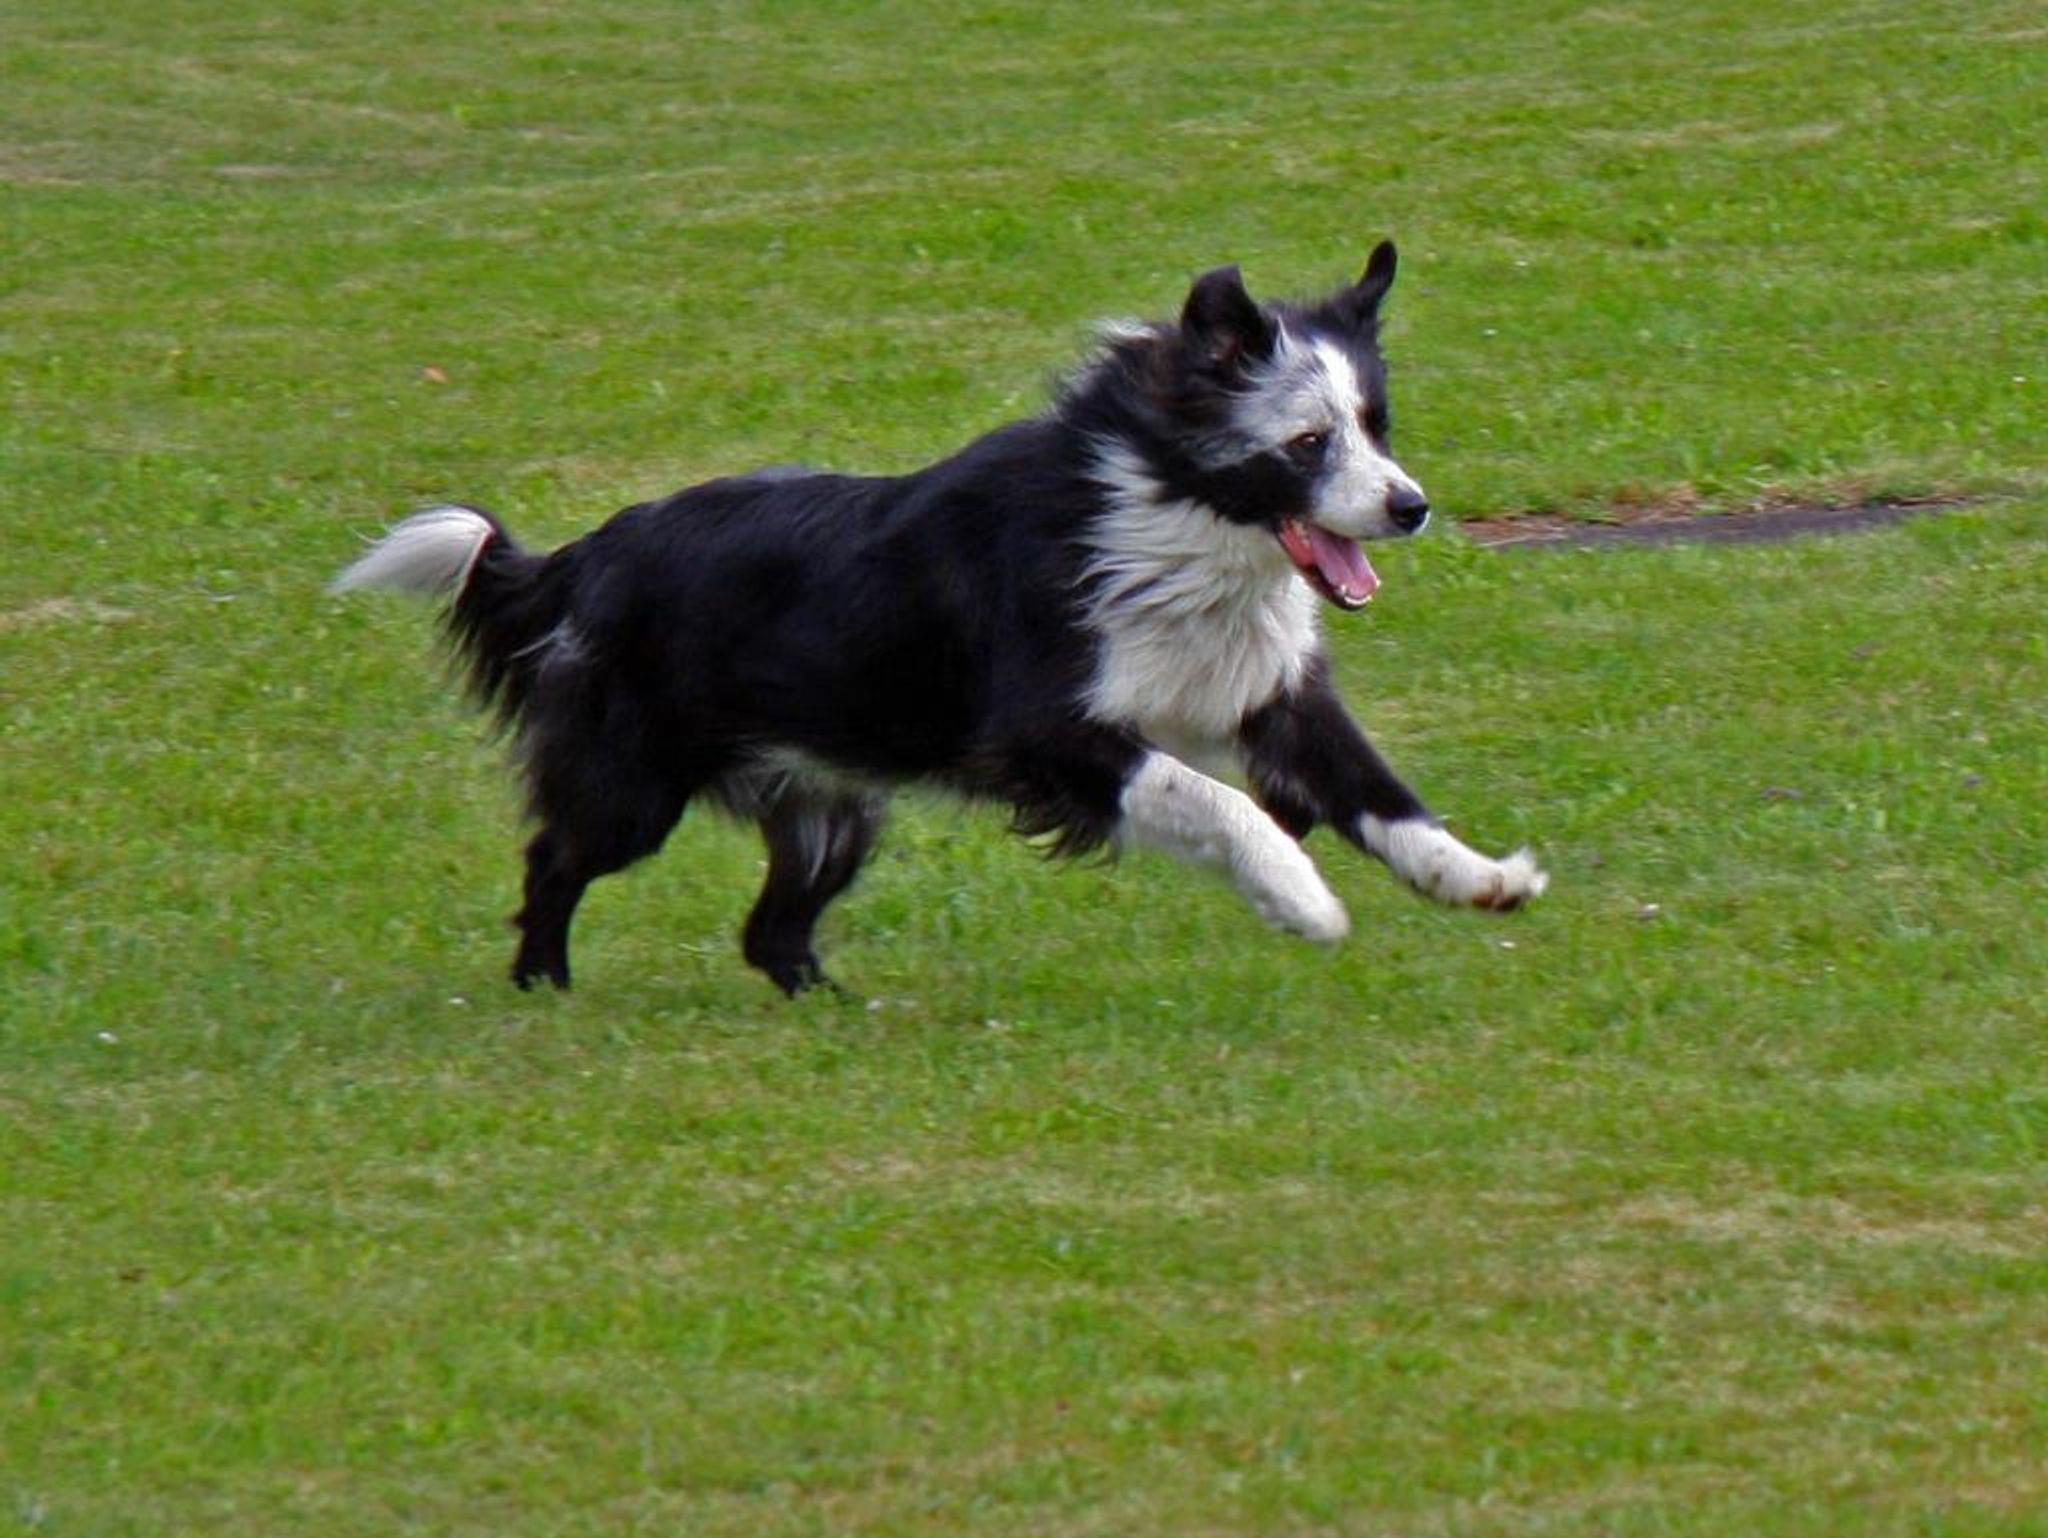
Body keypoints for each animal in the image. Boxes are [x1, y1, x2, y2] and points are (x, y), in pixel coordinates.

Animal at [333, 242, 1547, 994]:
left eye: (1378, 424)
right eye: (1307, 442)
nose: (1410, 506)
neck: (1169, 516)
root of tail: (587, 554)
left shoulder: (1272, 693)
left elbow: (1378, 793)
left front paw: (1476, 877)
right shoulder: (1046, 733)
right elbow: (1214, 800)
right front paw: (1301, 900)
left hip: (829, 805)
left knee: (769, 927)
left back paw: (836, 1007)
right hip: (632, 786)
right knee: (554, 860)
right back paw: (543, 982)